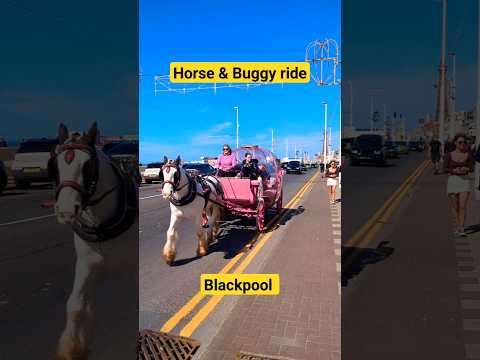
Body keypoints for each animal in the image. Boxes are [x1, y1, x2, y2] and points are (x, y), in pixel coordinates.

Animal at [50, 122, 136, 358]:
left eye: (87, 166)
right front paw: (72, 347)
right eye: (56, 165)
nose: (66, 210)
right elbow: (76, 304)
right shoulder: (89, 262)